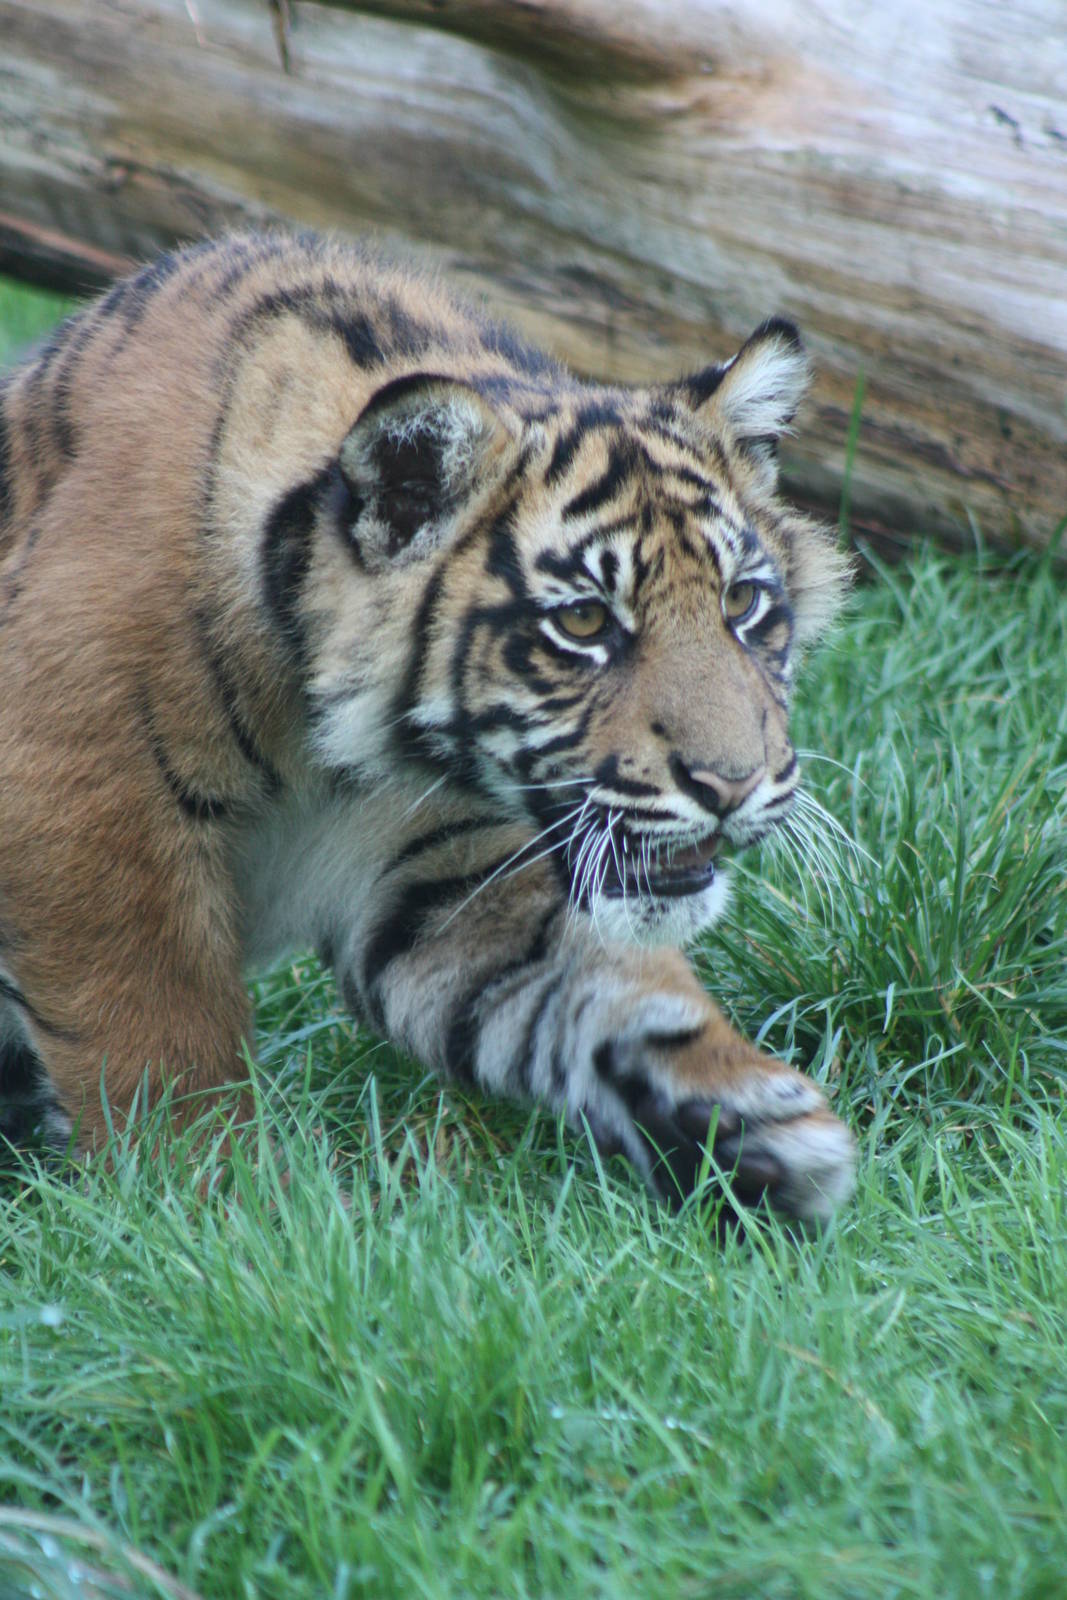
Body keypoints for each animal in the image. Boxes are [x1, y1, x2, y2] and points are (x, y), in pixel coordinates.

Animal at [0, 230, 855, 1219]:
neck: (329, 741)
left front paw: (747, 1121)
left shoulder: (441, 862)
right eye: (584, 623)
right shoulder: (81, 794)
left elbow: (591, 985)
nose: (730, 785)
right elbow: (151, 1020)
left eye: (742, 604)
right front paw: (209, 1199)